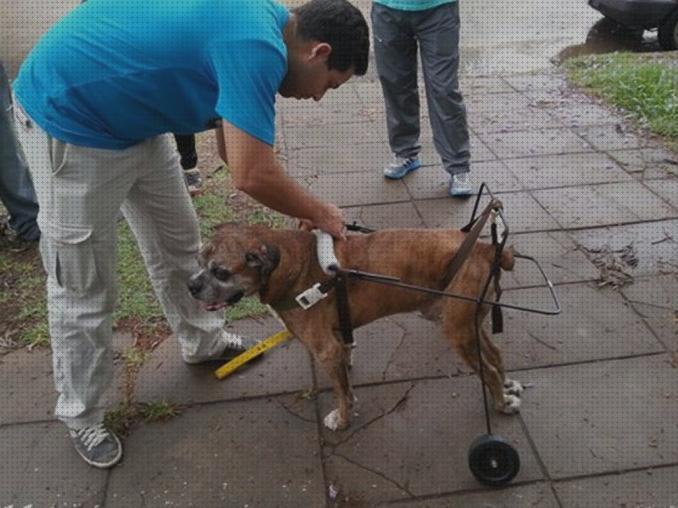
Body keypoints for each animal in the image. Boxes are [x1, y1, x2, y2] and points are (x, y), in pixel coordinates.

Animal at [189, 222, 524, 428]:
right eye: (199, 262)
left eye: (221, 272)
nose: (191, 285)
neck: (289, 263)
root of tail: (485, 248)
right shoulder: (339, 342)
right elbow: (346, 379)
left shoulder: (326, 351)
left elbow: (340, 390)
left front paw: (342, 418)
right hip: (470, 324)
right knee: (495, 355)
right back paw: (507, 384)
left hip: (457, 331)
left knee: (487, 370)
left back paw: (501, 402)